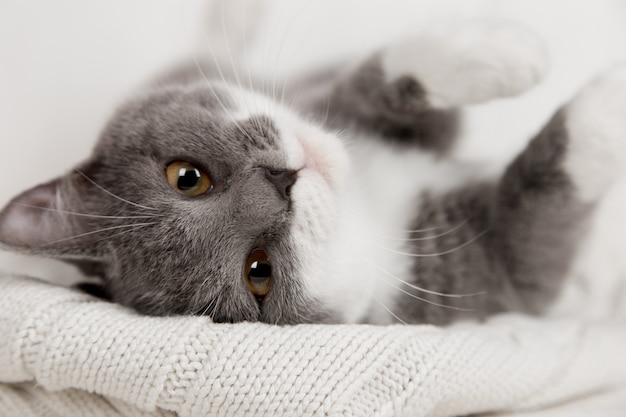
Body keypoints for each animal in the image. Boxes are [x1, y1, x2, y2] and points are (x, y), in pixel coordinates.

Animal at [1, 18, 624, 324]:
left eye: (187, 177)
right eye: (258, 272)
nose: (283, 181)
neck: (368, 200)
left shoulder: (338, 106)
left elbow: (381, 75)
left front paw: (504, 49)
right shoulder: (487, 271)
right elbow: (547, 199)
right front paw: (609, 92)